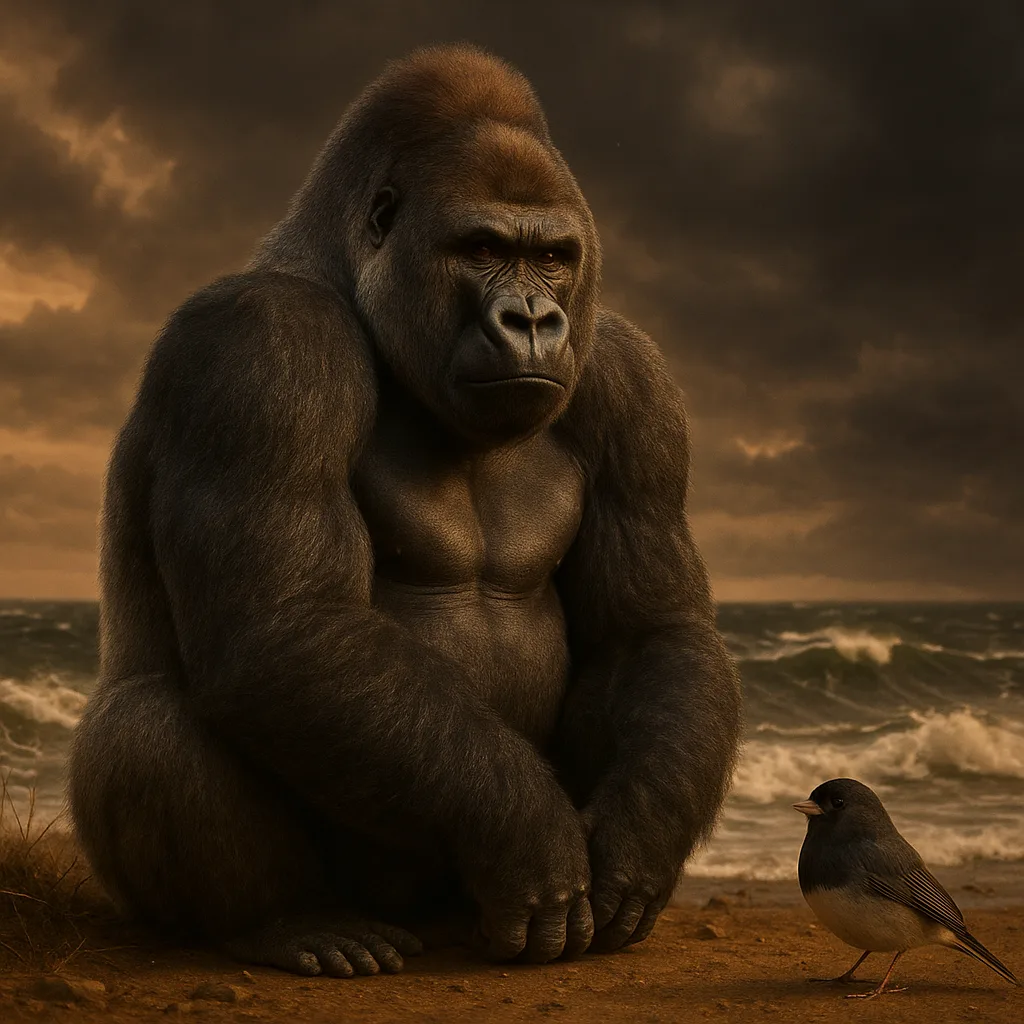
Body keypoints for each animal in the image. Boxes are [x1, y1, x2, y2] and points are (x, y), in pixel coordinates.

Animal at [68, 44, 742, 977]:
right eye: (482, 247)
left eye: (554, 256)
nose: (534, 319)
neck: (343, 275)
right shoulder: (262, 345)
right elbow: (287, 624)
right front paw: (528, 837)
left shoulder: (631, 378)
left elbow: (651, 631)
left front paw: (637, 849)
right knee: (145, 728)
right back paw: (291, 921)